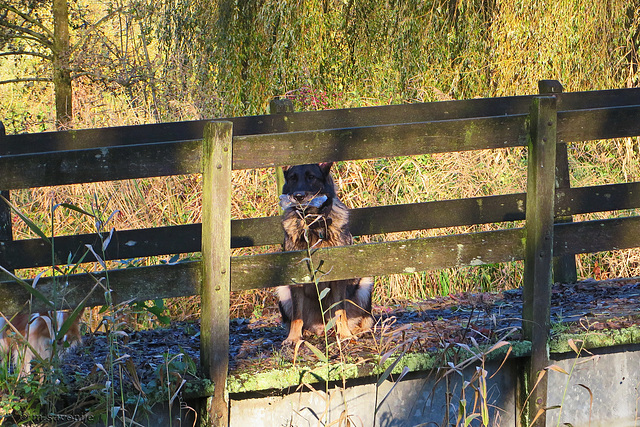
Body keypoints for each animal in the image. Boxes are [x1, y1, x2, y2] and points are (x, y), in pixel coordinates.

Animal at [276, 162, 376, 346]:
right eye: (293, 178)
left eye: (311, 177)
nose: (298, 196)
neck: (312, 225)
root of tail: (323, 328)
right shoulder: (295, 280)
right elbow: (297, 315)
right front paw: (293, 338)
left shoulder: (339, 278)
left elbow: (340, 310)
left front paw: (345, 334)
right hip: (282, 290)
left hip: (365, 283)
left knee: (365, 319)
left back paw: (357, 331)